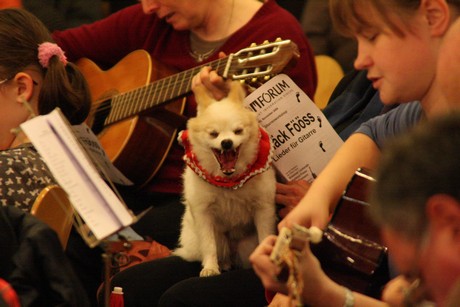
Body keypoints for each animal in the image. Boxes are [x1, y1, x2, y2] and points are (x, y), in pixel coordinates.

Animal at [175, 82, 276, 280]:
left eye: (238, 131)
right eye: (214, 134)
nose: (227, 142)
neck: (230, 181)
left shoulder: (263, 209)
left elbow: (265, 235)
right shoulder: (203, 214)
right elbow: (208, 245)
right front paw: (210, 268)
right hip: (215, 241)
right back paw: (223, 263)